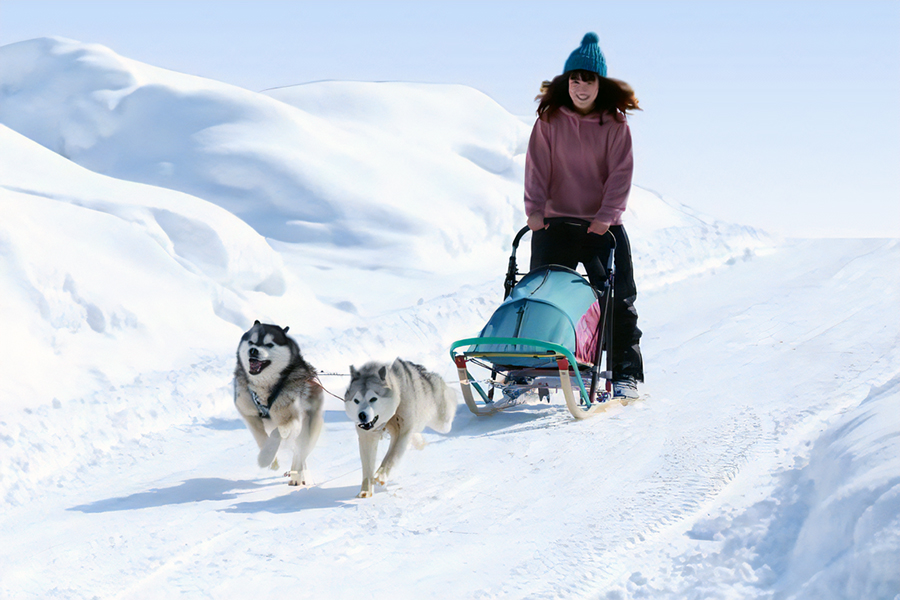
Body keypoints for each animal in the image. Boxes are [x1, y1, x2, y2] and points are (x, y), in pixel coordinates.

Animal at [234, 322, 326, 486]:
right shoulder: (248, 414)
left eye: (269, 344)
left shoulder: (292, 420)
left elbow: (278, 433)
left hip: (310, 427)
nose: (253, 350)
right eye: (251, 342)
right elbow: (261, 437)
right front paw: (269, 458)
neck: (265, 390)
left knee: (300, 453)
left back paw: (298, 474)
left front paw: (266, 457)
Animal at [344, 358, 458, 500]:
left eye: (373, 398)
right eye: (356, 400)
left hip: (442, 422)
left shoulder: (402, 431)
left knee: (449, 397)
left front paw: (380, 475)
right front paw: (366, 490)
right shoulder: (367, 437)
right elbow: (367, 465)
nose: (362, 415)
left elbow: (392, 456)